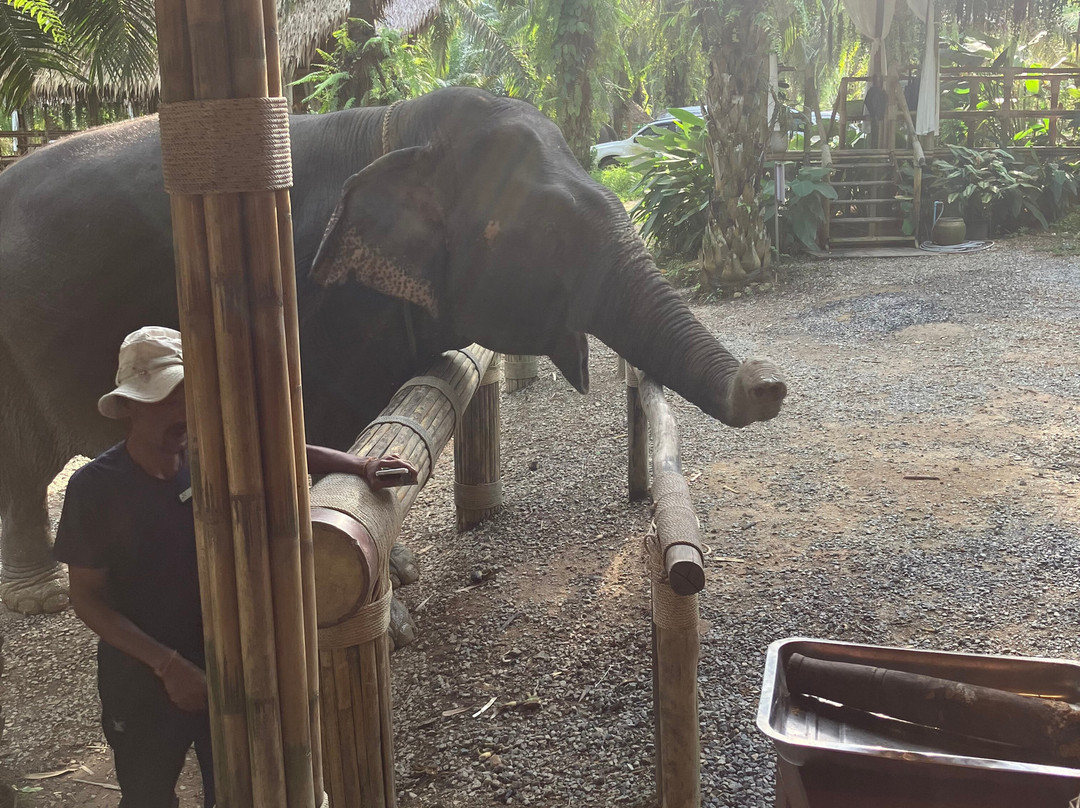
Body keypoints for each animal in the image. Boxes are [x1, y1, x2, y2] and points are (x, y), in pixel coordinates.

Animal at [0, 87, 787, 623]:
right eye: (546, 236)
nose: (767, 381)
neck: (402, 130)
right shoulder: (306, 299)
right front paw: (389, 613)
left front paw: (401, 569)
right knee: (23, 464)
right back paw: (44, 596)